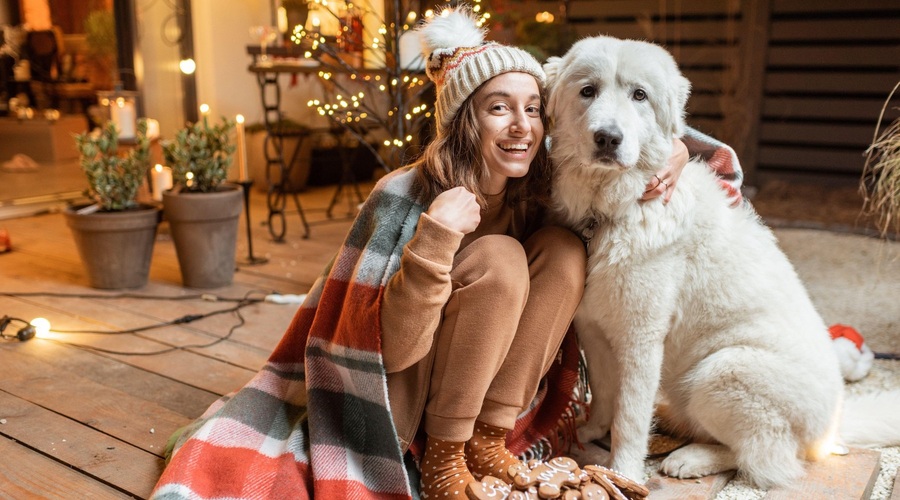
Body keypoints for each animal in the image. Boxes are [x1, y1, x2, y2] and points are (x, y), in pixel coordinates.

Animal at [540, 37, 900, 490]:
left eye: (639, 95)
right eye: (588, 90)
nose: (608, 138)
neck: (610, 210)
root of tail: (832, 425)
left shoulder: (641, 338)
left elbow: (630, 417)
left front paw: (622, 471)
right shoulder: (594, 329)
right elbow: (606, 394)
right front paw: (590, 431)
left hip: (721, 371)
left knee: (765, 458)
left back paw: (690, 459)